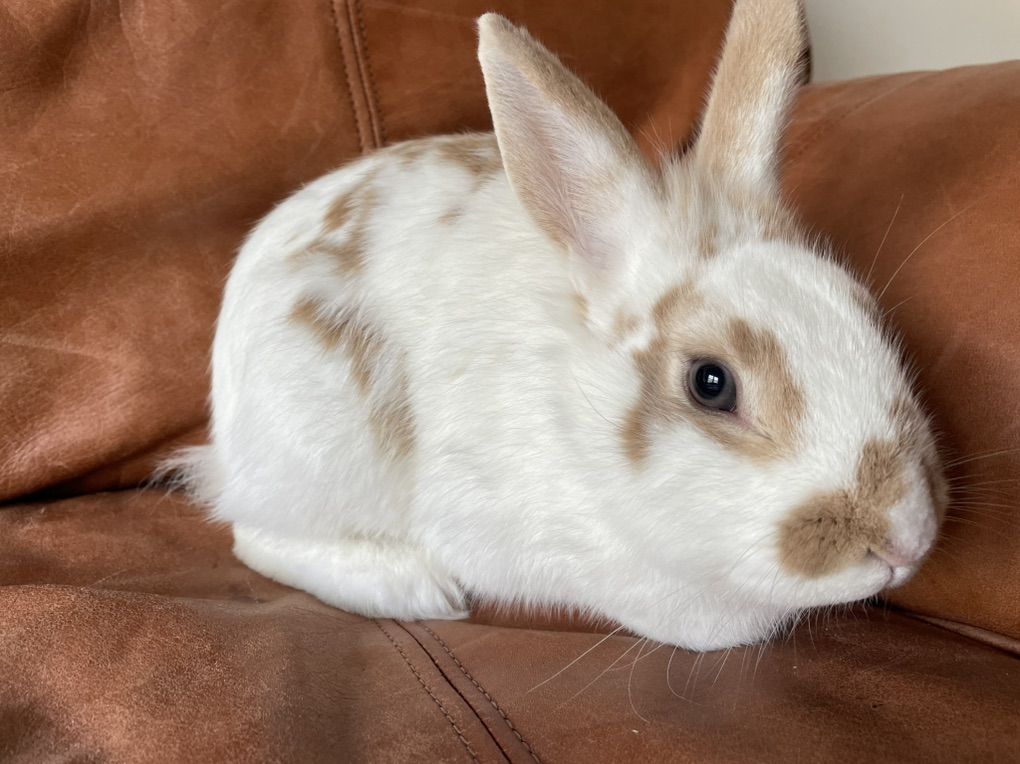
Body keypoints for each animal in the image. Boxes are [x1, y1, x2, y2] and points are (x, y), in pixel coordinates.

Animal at [169, 0, 946, 651]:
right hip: (315, 452)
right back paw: (416, 587)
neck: (574, 416)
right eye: (711, 383)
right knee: (253, 536)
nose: (905, 540)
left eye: (863, 311)